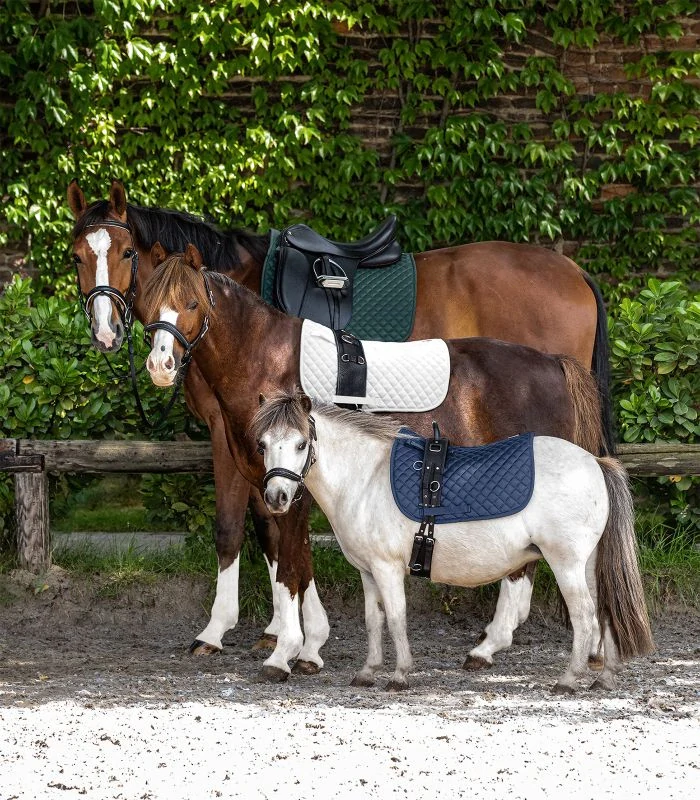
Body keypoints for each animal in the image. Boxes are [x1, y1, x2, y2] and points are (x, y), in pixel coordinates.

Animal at [67, 179, 613, 663]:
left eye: (126, 253)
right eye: (76, 256)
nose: (109, 334)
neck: (264, 348)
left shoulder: (248, 448)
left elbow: (274, 538)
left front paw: (282, 638)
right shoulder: (251, 452)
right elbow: (264, 534)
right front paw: (275, 634)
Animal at [253, 391, 653, 692]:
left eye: (301, 444)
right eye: (263, 445)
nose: (276, 497)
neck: (366, 476)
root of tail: (596, 462)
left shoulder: (387, 569)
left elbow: (396, 618)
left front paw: (400, 675)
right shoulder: (368, 573)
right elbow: (373, 621)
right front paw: (367, 673)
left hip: (567, 565)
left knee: (584, 616)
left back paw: (568, 680)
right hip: (588, 565)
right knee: (605, 610)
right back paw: (605, 678)